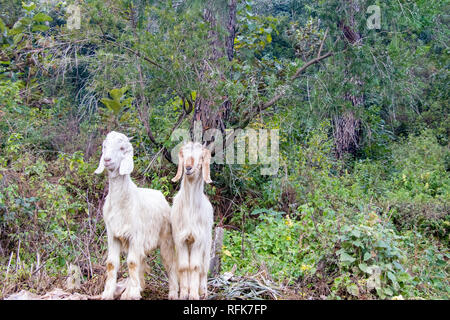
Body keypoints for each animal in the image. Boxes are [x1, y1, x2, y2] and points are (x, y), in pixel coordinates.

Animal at [95, 131, 178, 300]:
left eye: (122, 148)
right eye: (104, 146)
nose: (107, 160)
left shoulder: (136, 235)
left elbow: (132, 263)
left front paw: (132, 293)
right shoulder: (113, 234)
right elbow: (111, 263)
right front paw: (108, 293)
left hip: (166, 237)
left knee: (169, 262)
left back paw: (173, 293)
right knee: (141, 259)